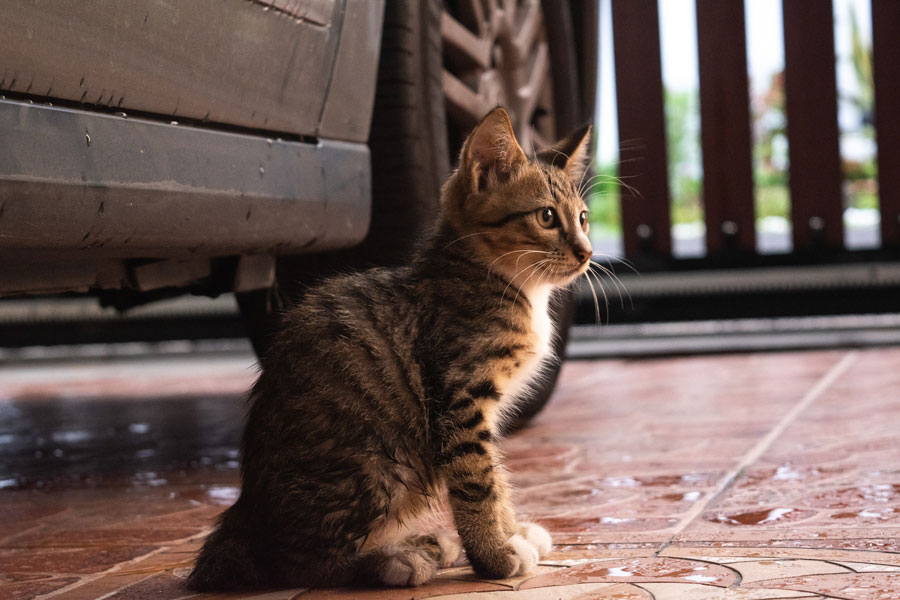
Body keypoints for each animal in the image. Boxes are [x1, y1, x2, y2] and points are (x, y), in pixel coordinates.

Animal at [187, 108, 596, 592]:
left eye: (584, 218)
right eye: (547, 216)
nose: (587, 252)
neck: (504, 282)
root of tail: (246, 510)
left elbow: (497, 474)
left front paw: (510, 530)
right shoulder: (459, 399)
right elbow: (478, 480)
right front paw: (494, 555)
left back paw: (425, 543)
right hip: (381, 467)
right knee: (298, 564)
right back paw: (397, 558)